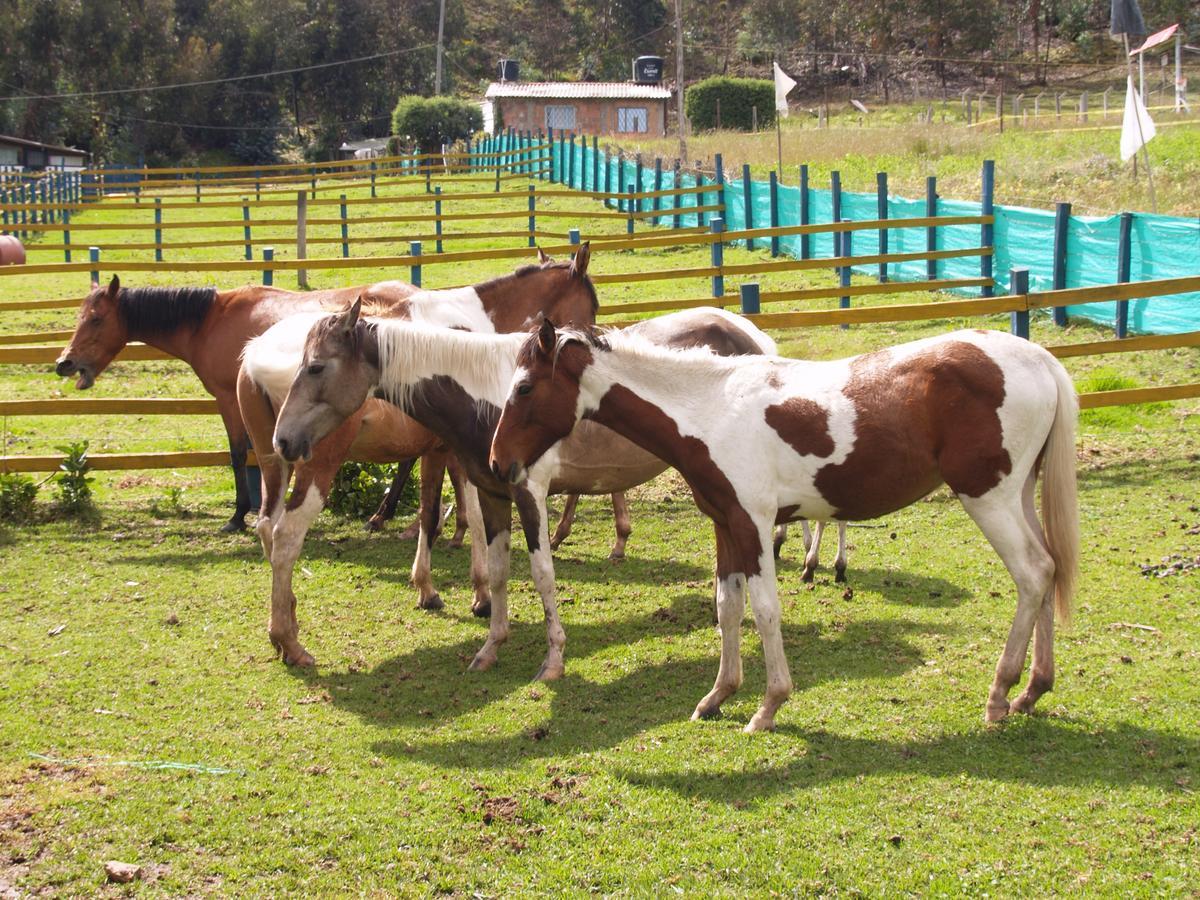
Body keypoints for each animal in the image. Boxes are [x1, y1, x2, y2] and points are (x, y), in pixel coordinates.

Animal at [266, 303, 772, 676]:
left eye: (315, 367)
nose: (282, 440)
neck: (487, 395)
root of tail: (749, 334)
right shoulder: (492, 494)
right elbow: (497, 572)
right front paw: (490, 648)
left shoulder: (530, 494)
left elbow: (543, 574)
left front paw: (554, 660)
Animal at [492, 324, 1084, 734]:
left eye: (524, 388)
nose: (499, 464)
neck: (709, 411)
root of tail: (1039, 359)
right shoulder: (726, 526)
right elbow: (727, 608)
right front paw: (718, 697)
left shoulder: (754, 525)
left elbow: (765, 610)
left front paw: (769, 705)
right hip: (1018, 496)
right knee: (1051, 569)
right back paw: (1033, 690)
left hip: (990, 497)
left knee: (1033, 573)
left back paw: (1000, 694)